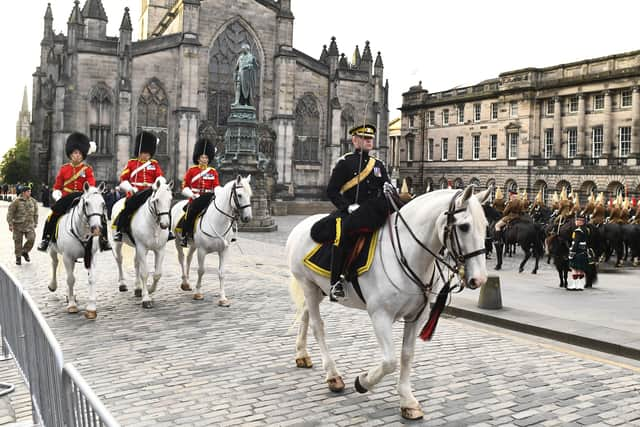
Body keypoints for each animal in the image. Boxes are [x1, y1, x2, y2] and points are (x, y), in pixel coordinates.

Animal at [47, 182, 106, 320]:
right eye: (87, 203)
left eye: (103, 203)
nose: (96, 229)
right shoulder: (67, 257)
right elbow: (70, 279)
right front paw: (72, 305)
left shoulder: (91, 255)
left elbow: (91, 278)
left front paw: (91, 308)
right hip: (53, 250)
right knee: (55, 263)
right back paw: (54, 286)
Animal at [111, 176, 172, 310]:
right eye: (157, 200)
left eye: (170, 199)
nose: (165, 224)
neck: (154, 225)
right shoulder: (142, 248)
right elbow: (145, 273)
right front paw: (146, 299)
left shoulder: (160, 249)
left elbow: (157, 274)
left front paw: (149, 289)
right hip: (118, 243)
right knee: (119, 260)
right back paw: (122, 284)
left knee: (136, 263)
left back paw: (138, 288)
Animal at [171, 176, 254, 306]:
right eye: (239, 195)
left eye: (250, 195)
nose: (248, 218)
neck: (218, 221)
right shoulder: (202, 250)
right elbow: (201, 270)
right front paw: (198, 293)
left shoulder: (224, 251)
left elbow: (222, 273)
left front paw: (223, 298)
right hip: (178, 240)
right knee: (181, 258)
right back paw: (184, 282)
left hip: (193, 245)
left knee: (189, 258)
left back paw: (188, 282)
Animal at [286, 186, 490, 422]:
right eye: (464, 227)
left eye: (486, 226)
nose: (479, 279)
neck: (409, 254)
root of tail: (301, 225)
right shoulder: (380, 315)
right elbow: (390, 361)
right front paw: (363, 382)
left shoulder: (416, 317)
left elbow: (406, 356)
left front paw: (407, 400)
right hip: (309, 286)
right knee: (317, 326)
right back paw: (333, 375)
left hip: (316, 289)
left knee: (305, 315)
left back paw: (302, 354)